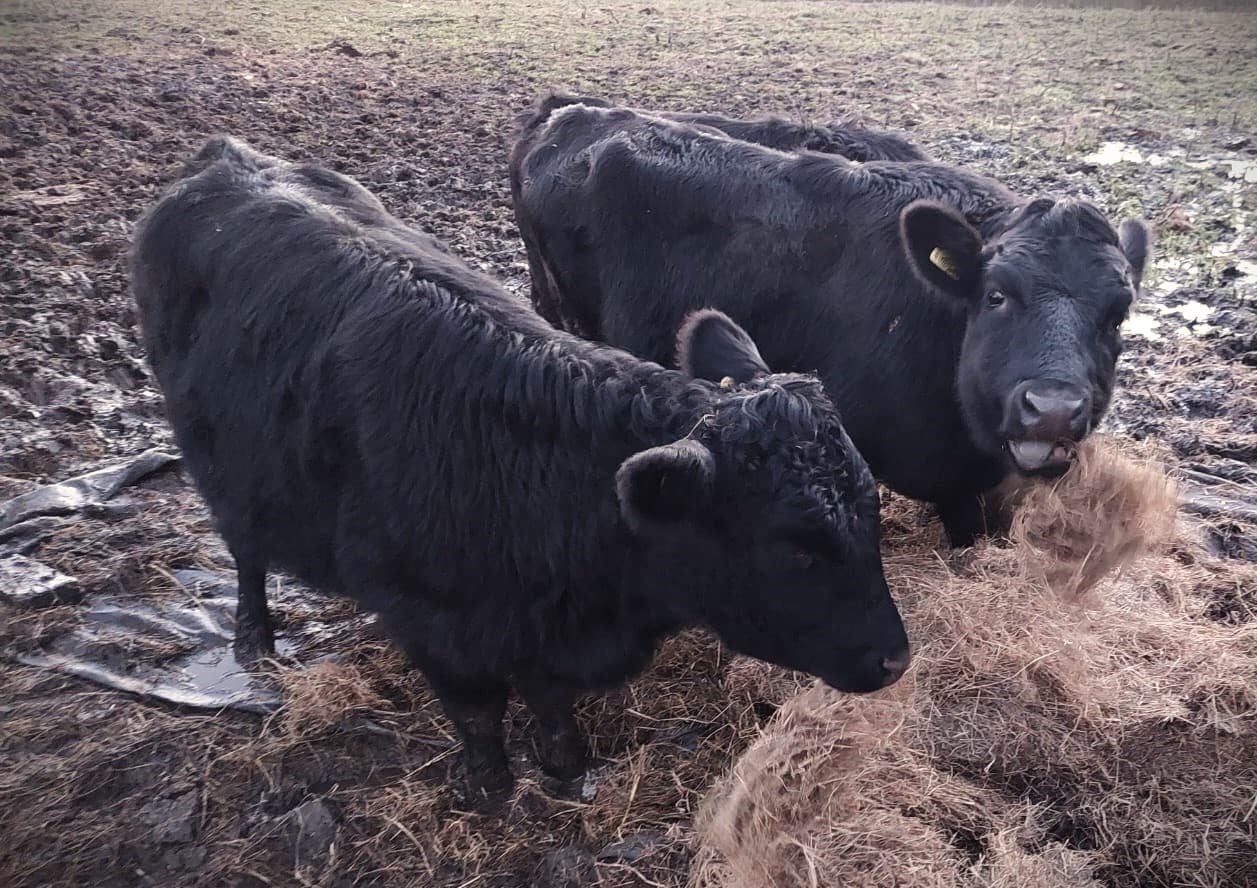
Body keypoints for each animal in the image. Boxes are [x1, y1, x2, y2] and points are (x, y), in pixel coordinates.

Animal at [130, 136, 910, 800]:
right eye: (796, 548)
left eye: (870, 510)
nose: (895, 660)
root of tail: (226, 159)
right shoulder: (438, 628)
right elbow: (477, 713)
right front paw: (491, 788)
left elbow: (553, 704)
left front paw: (568, 770)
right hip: (219, 467)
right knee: (246, 552)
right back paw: (254, 640)